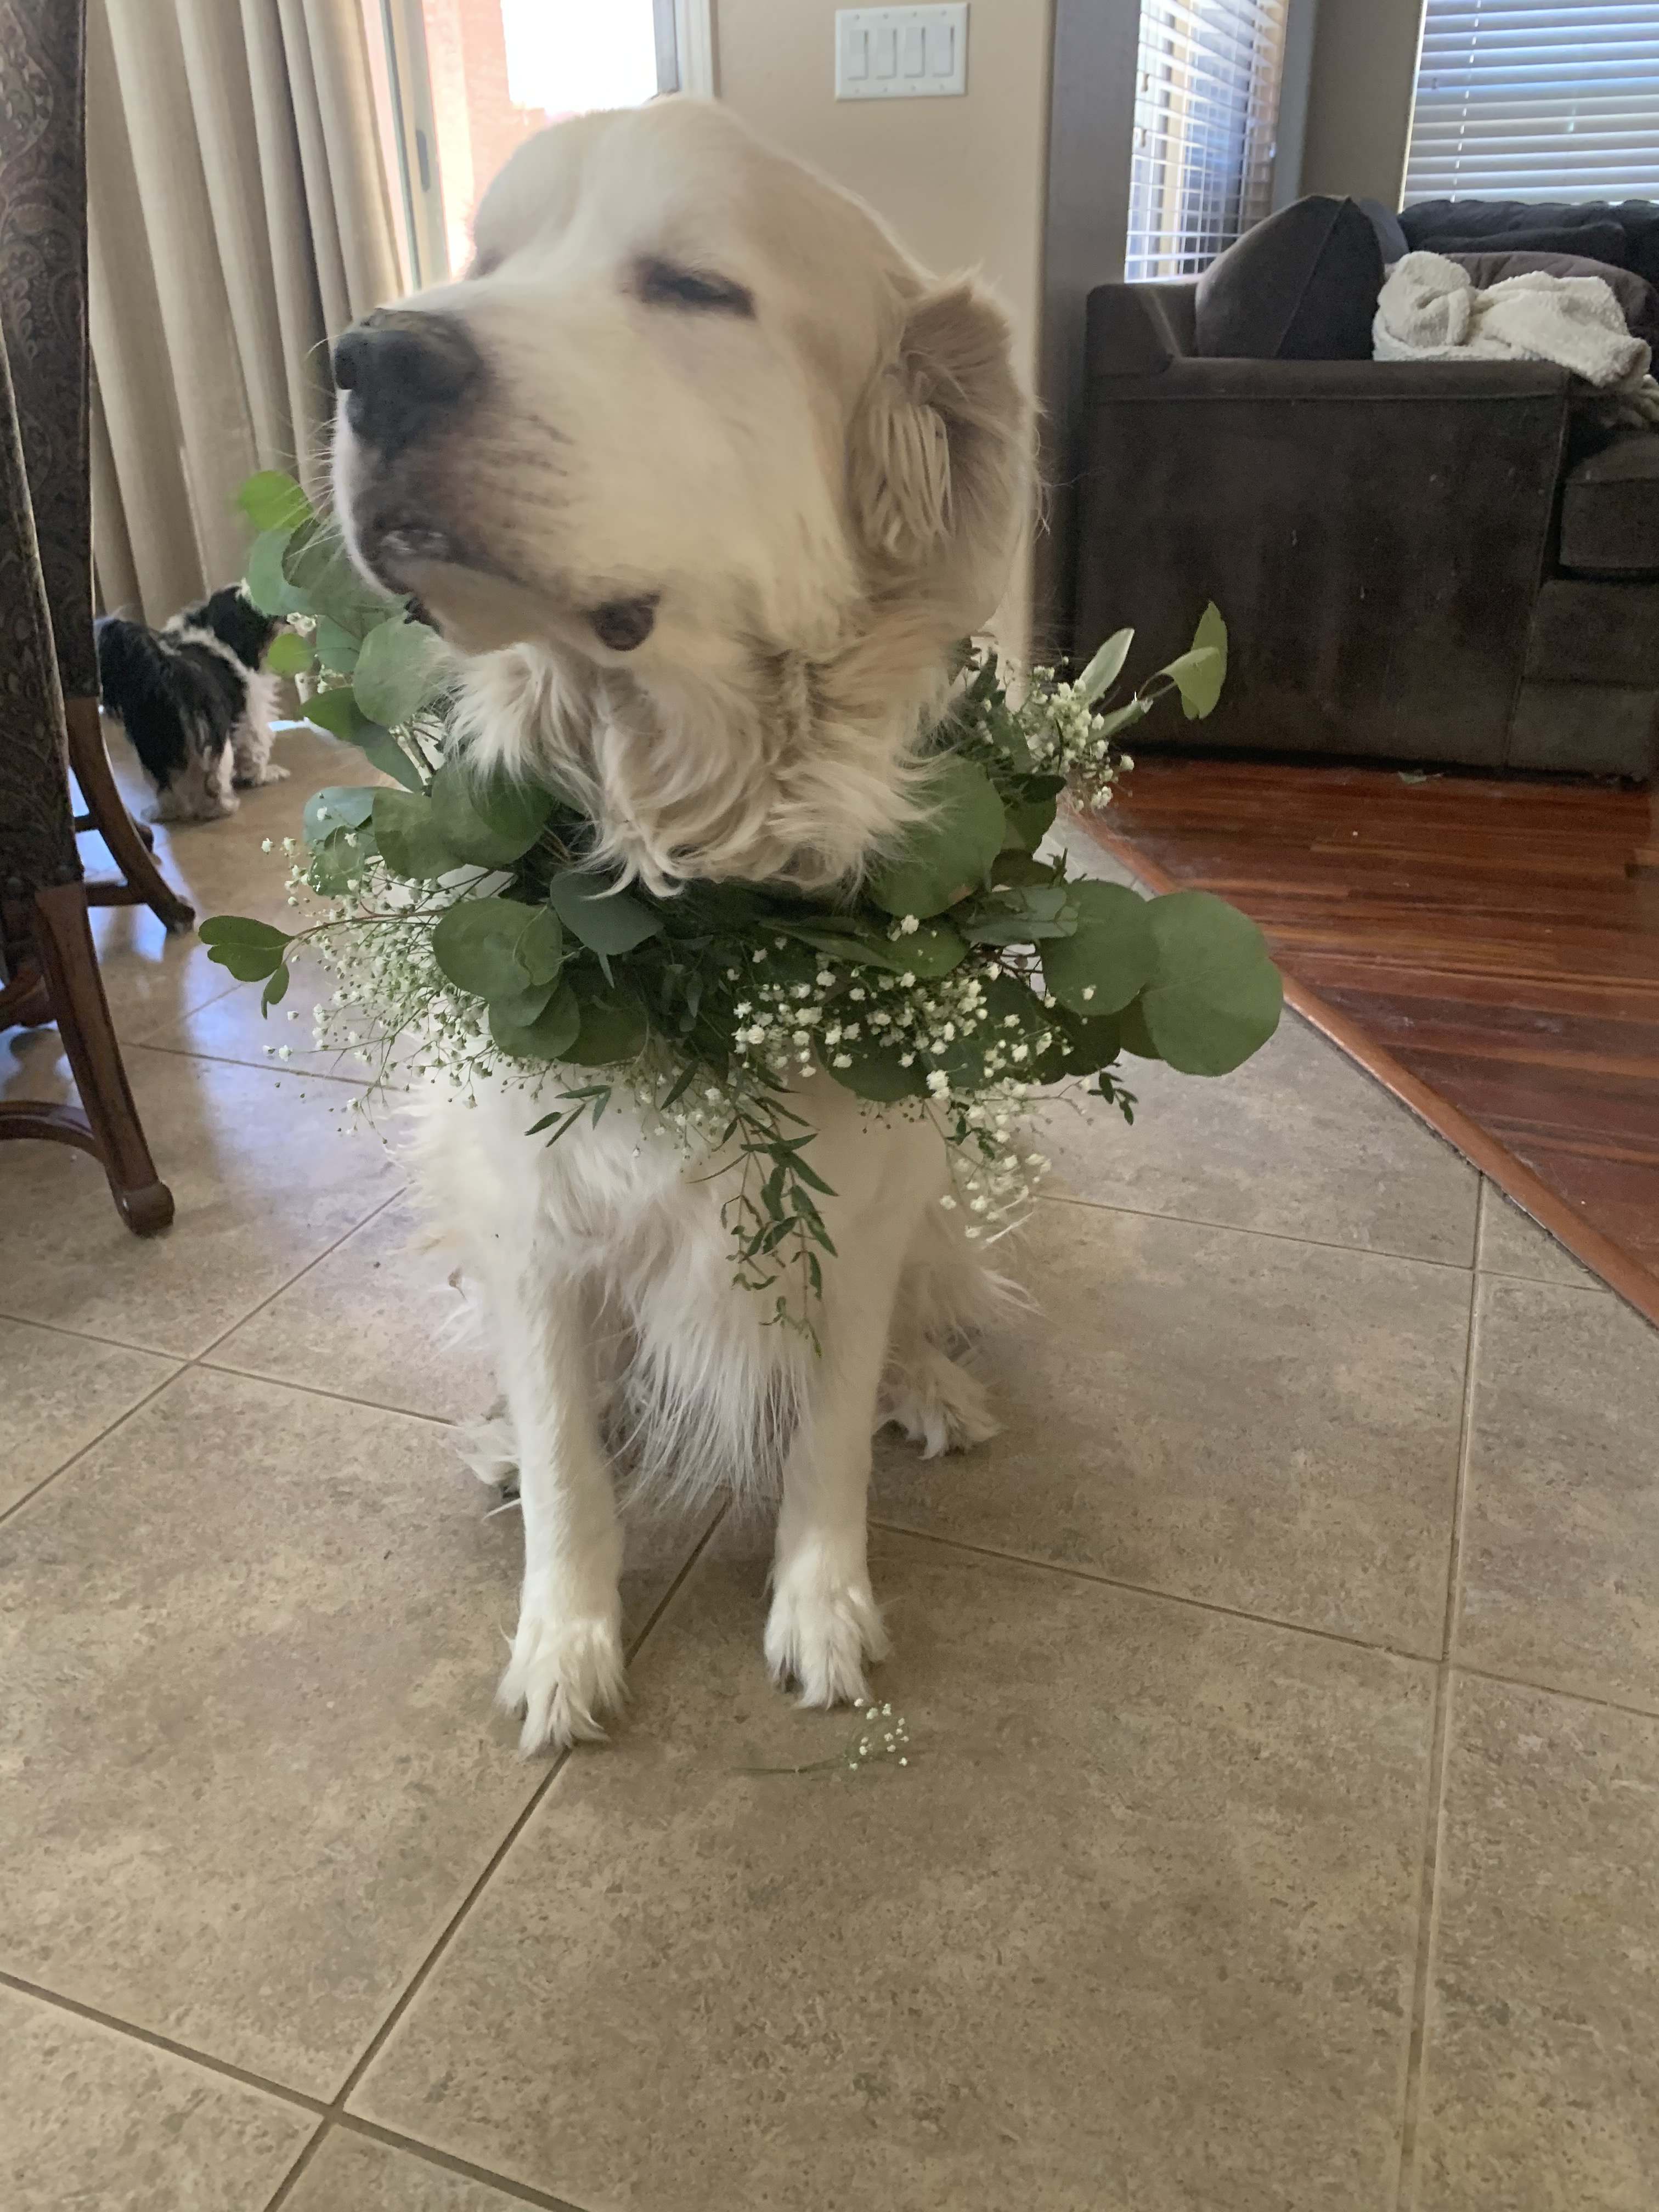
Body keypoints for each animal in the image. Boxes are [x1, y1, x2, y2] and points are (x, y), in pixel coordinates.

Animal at [95, 586, 285, 823]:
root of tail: (166, 671)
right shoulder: (252, 713)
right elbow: (255, 749)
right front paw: (262, 776)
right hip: (214, 737)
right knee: (215, 777)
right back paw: (222, 807)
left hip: (152, 743)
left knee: (163, 782)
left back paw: (168, 811)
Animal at [331, 98, 1032, 1753]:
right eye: (485, 262)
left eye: (697, 289)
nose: (375, 357)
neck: (687, 890)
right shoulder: (528, 1221)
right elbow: (573, 1473)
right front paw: (566, 1643)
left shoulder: (863, 1208)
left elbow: (826, 1436)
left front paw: (823, 1608)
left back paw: (931, 1386)